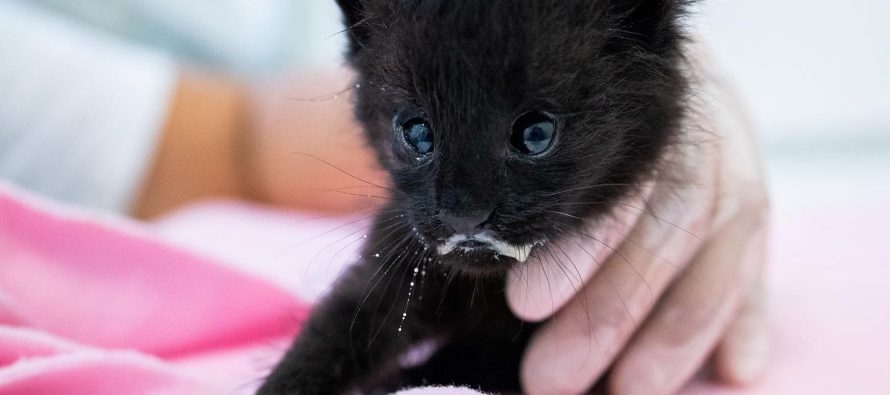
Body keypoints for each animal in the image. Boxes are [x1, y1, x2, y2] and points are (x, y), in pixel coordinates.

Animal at [255, 1, 688, 394]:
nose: (463, 215)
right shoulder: (397, 257)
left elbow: (468, 363)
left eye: (536, 134)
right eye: (418, 133)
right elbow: (336, 330)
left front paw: (399, 379)